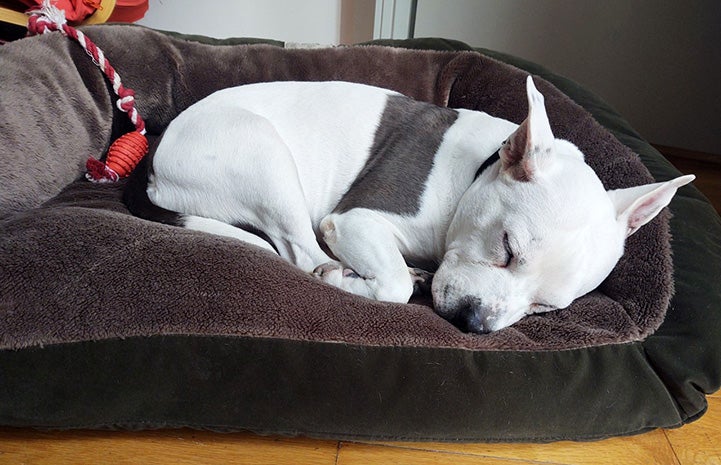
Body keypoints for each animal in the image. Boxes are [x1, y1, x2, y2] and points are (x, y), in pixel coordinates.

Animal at [124, 77, 692, 330]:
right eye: (506, 247)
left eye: (547, 307)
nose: (474, 323)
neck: (476, 171)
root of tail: (154, 157)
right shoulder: (353, 221)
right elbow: (391, 284)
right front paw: (360, 281)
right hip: (265, 158)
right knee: (300, 254)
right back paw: (337, 274)